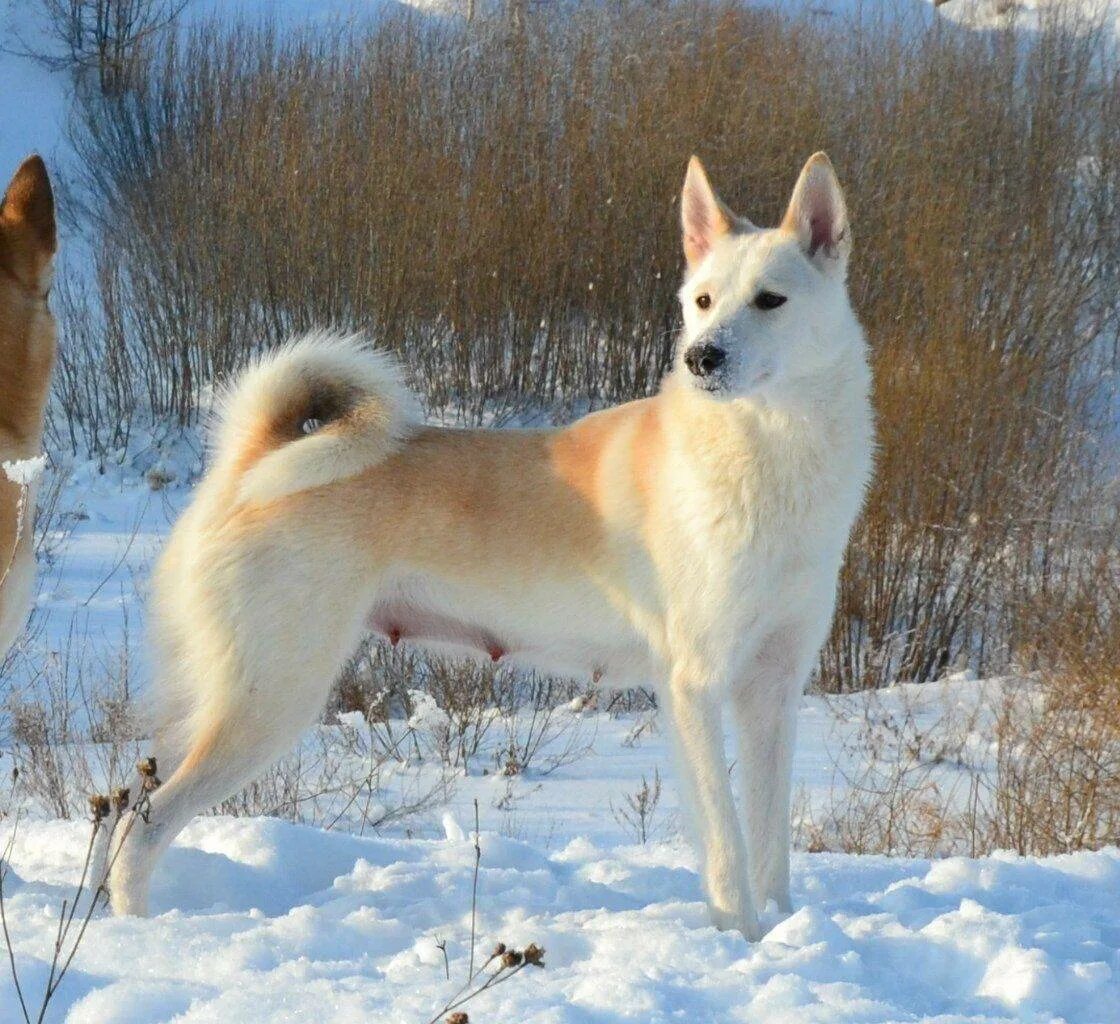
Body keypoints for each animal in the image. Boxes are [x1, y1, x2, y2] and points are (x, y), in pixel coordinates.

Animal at [106, 147, 873, 936]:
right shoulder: (694, 687)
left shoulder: (771, 691)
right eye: (703, 301)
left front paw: (785, 929)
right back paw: (137, 928)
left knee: (126, 809)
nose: (702, 358)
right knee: (142, 826)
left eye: (770, 301)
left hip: (218, 699)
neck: (770, 453)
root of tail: (246, 462)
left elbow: (770, 843)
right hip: (268, 700)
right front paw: (744, 938)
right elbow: (726, 847)